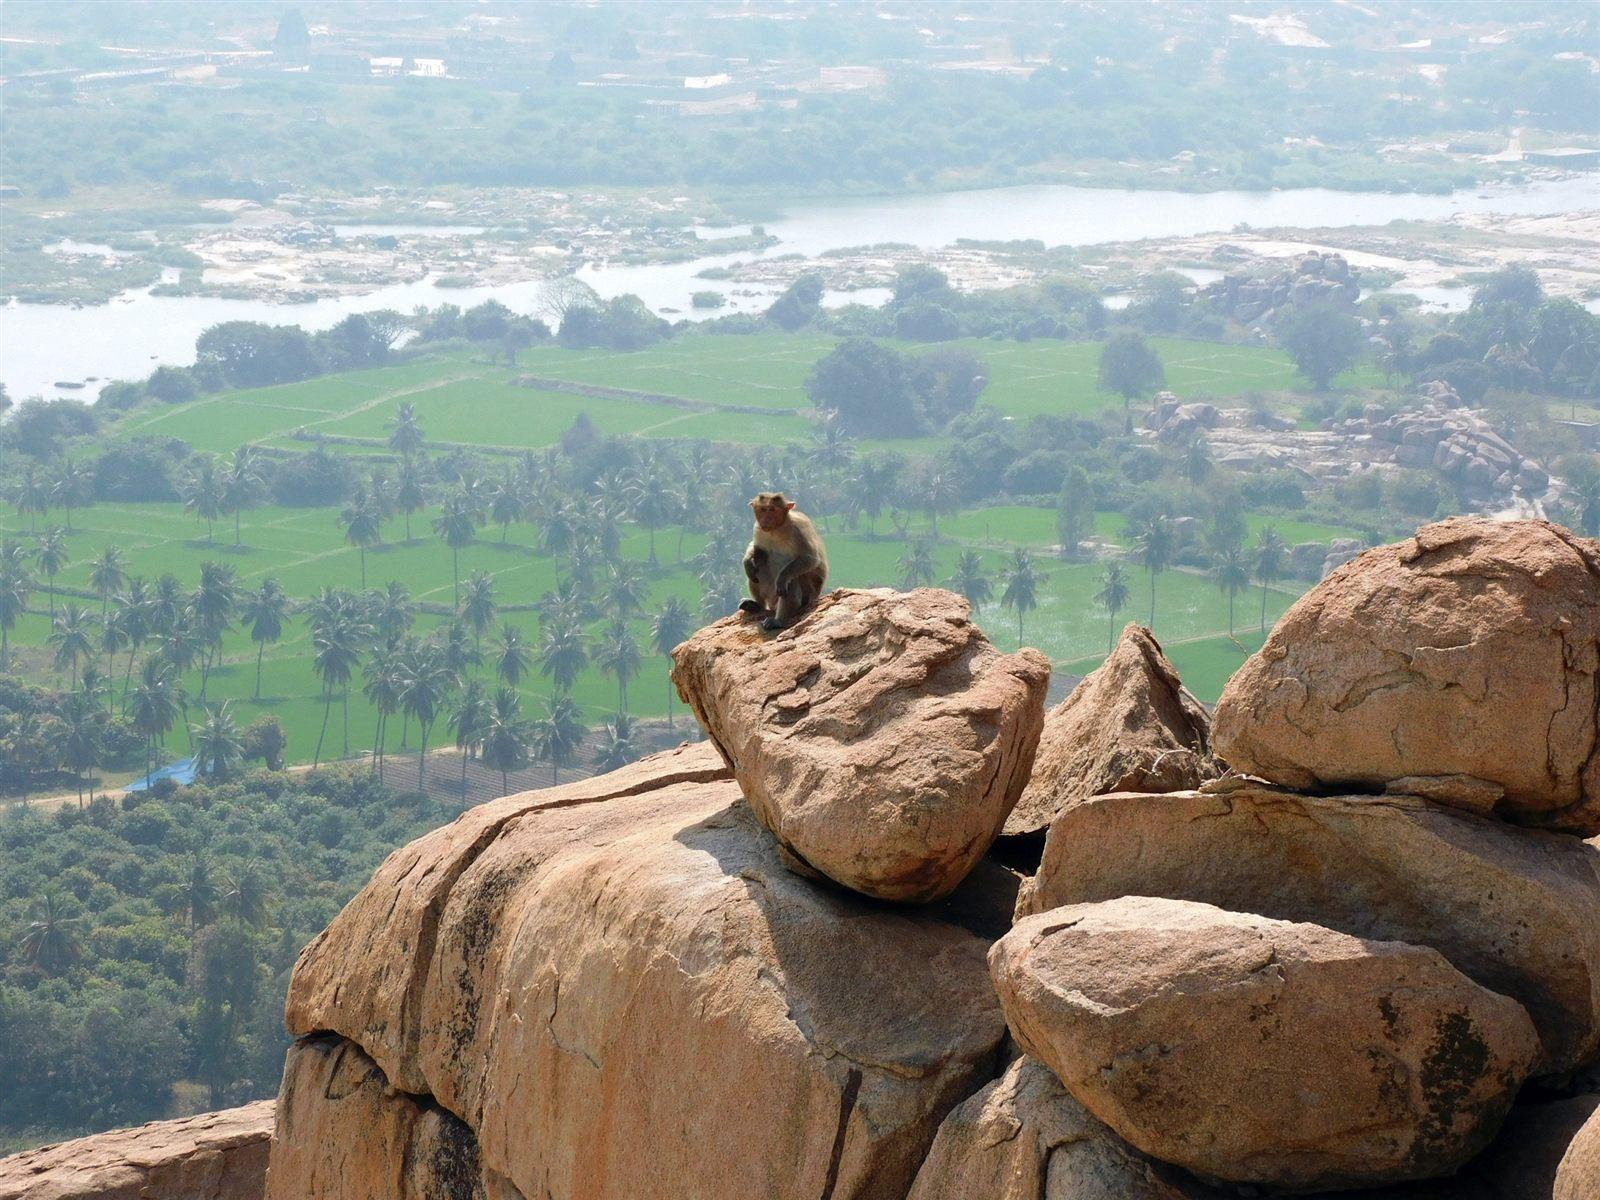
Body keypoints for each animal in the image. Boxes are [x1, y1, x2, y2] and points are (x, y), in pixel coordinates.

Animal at [739, 492, 828, 632]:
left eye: (772, 509)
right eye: (763, 509)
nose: (766, 519)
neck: (776, 529)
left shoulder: (798, 529)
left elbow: (810, 558)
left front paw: (782, 578)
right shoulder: (758, 528)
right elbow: (757, 547)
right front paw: (747, 560)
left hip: (809, 593)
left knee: (792, 580)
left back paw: (778, 620)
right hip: (770, 593)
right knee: (759, 562)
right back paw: (757, 605)